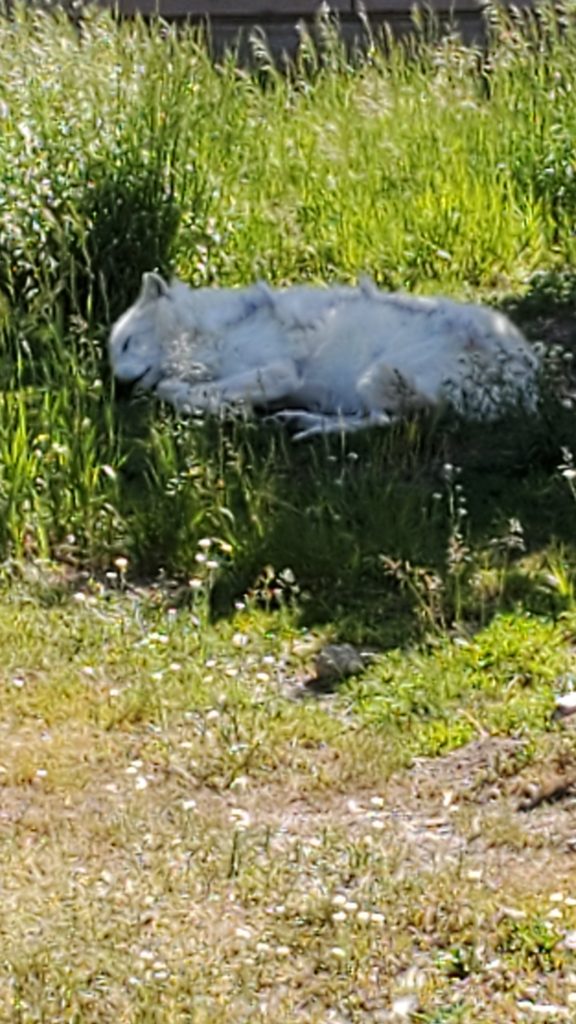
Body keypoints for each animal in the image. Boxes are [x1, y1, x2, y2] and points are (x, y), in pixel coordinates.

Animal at [107, 270, 537, 438]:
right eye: (111, 357)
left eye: (127, 343)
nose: (118, 386)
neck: (206, 331)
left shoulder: (279, 370)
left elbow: (170, 387)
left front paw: (225, 409)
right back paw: (296, 419)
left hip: (378, 374)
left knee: (384, 422)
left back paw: (309, 426)